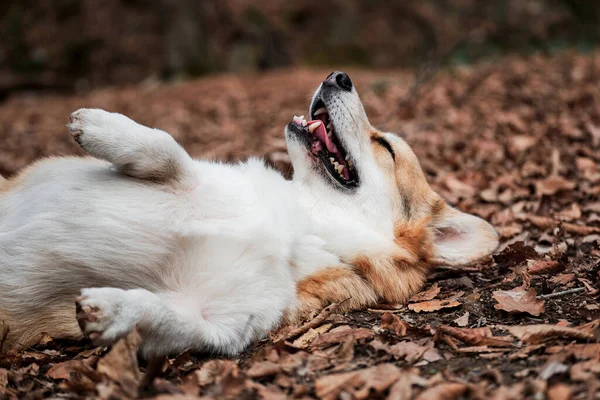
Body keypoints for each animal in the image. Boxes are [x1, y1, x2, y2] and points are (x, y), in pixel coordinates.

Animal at [0, 72, 496, 356]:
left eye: (387, 147)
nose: (339, 75)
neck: (300, 225)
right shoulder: (196, 174)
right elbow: (167, 149)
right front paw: (101, 124)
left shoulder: (218, 324)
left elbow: (161, 316)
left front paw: (109, 309)